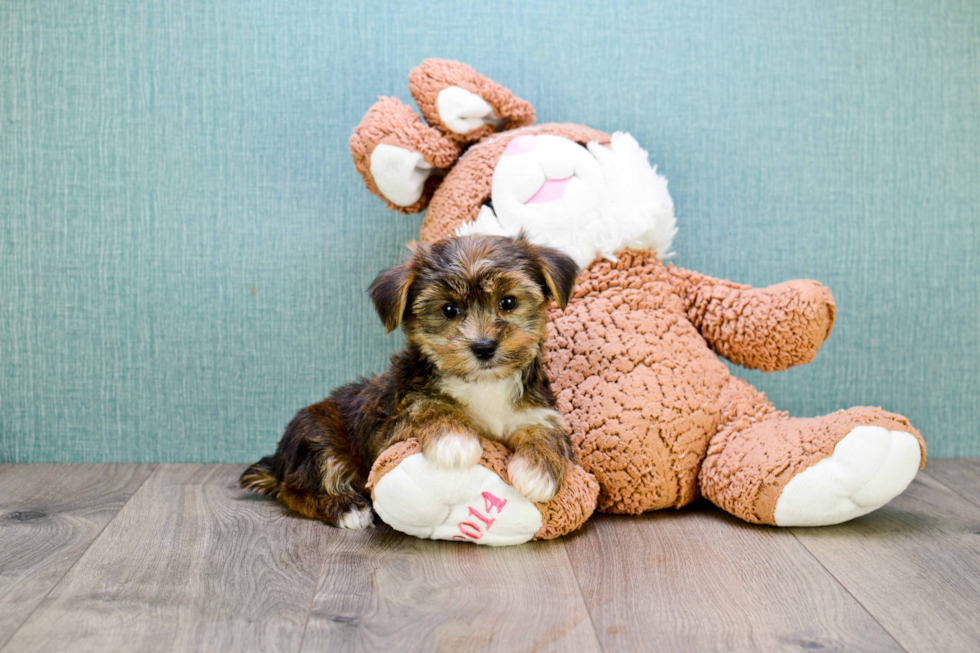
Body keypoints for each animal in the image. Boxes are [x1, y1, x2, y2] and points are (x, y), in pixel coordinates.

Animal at [240, 232, 580, 528]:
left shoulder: (539, 411)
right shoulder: (393, 423)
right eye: (449, 309)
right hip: (314, 437)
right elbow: (426, 406)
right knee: (295, 489)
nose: (484, 347)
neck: (483, 384)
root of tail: (278, 461)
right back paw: (347, 508)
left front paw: (537, 471)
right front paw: (454, 441)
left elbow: (546, 432)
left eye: (508, 303)